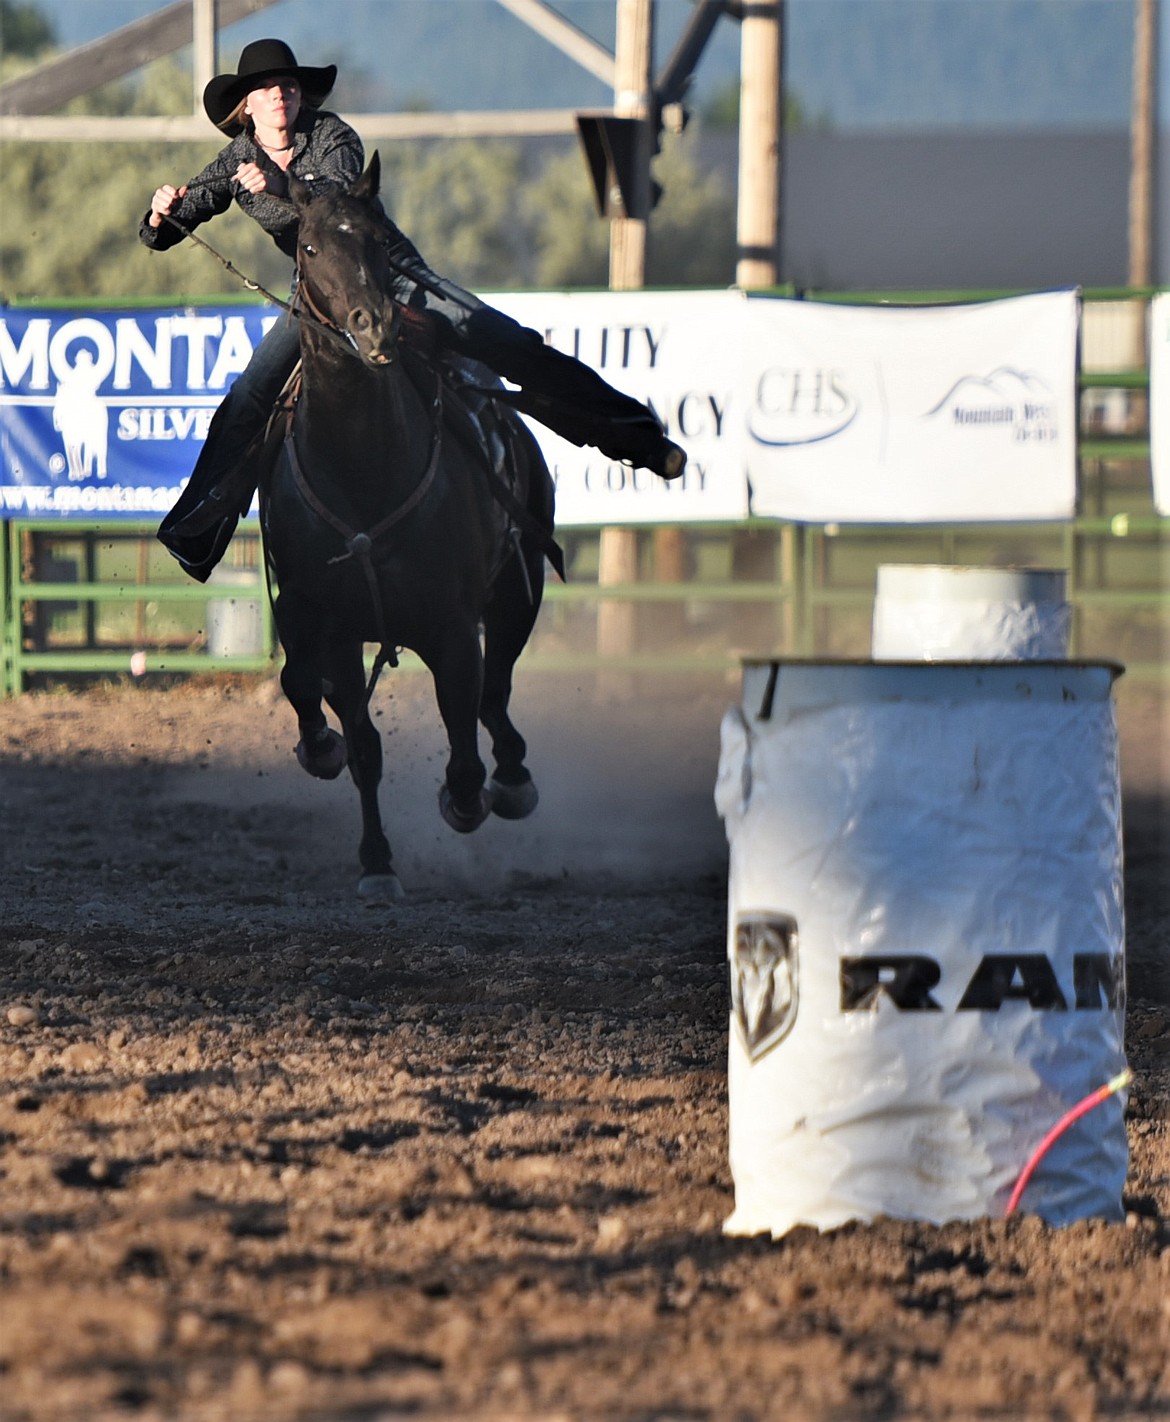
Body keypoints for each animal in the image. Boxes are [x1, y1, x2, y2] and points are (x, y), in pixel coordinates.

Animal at [263, 155, 557, 898]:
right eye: (311, 248)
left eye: (378, 242)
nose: (374, 329)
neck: (364, 469)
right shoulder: (329, 626)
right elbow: (355, 739)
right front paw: (375, 860)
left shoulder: (451, 627)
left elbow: (463, 735)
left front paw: (465, 800)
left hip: (518, 592)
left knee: (496, 693)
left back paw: (512, 781)